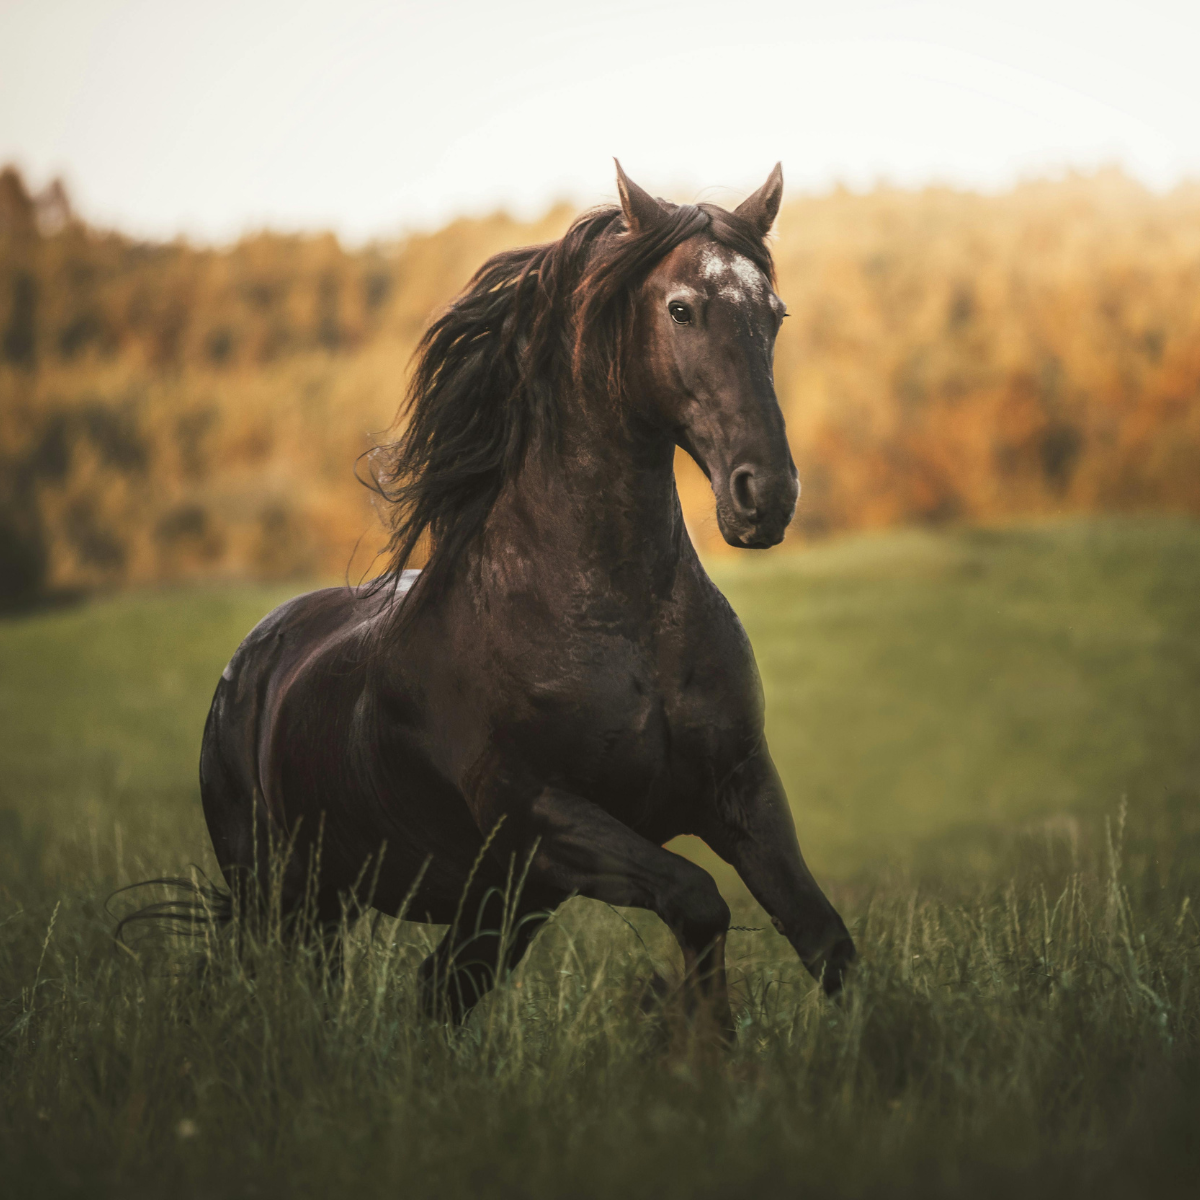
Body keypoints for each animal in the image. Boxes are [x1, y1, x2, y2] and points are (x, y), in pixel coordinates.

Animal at [198, 161, 856, 1035]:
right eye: (682, 308)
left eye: (774, 315)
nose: (767, 495)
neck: (622, 623)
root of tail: (249, 662)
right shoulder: (540, 817)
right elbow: (700, 902)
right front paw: (701, 1048)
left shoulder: (740, 790)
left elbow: (823, 937)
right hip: (285, 895)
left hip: (492, 909)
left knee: (437, 992)